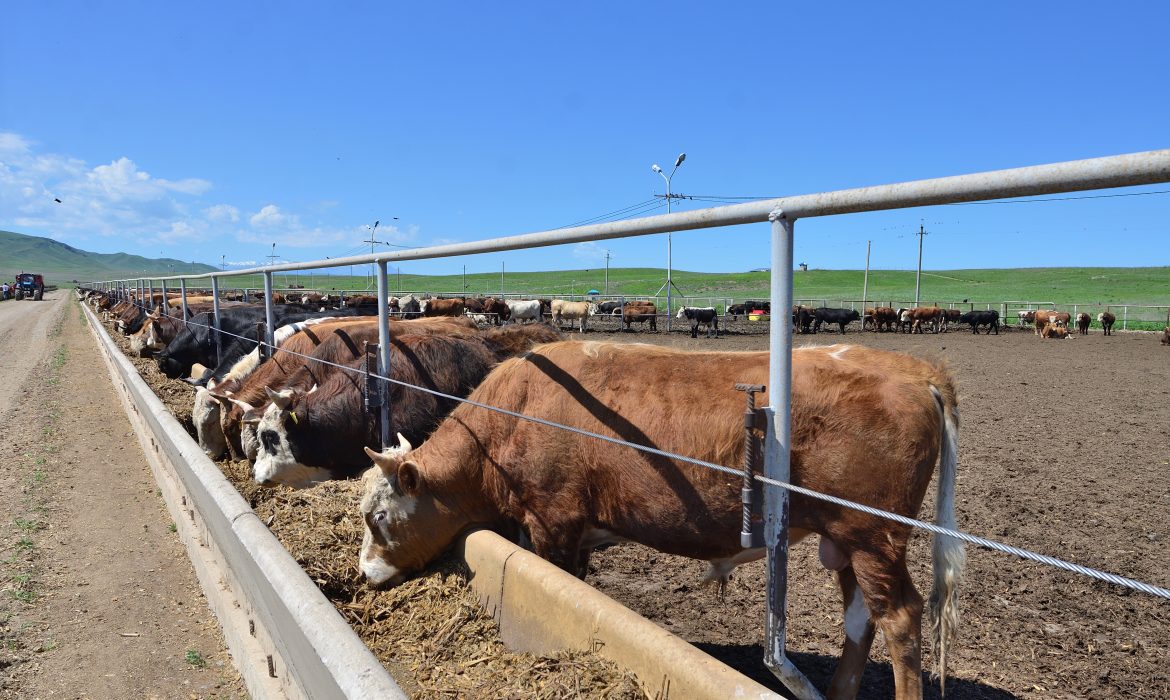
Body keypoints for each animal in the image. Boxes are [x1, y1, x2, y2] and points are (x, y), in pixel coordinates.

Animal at [360, 341, 964, 697]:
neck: (514, 413)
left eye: (378, 517)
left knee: (900, 618)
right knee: (862, 617)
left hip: (872, 535)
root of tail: (917, 370)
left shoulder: (554, 518)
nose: (363, 575)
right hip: (845, 540)